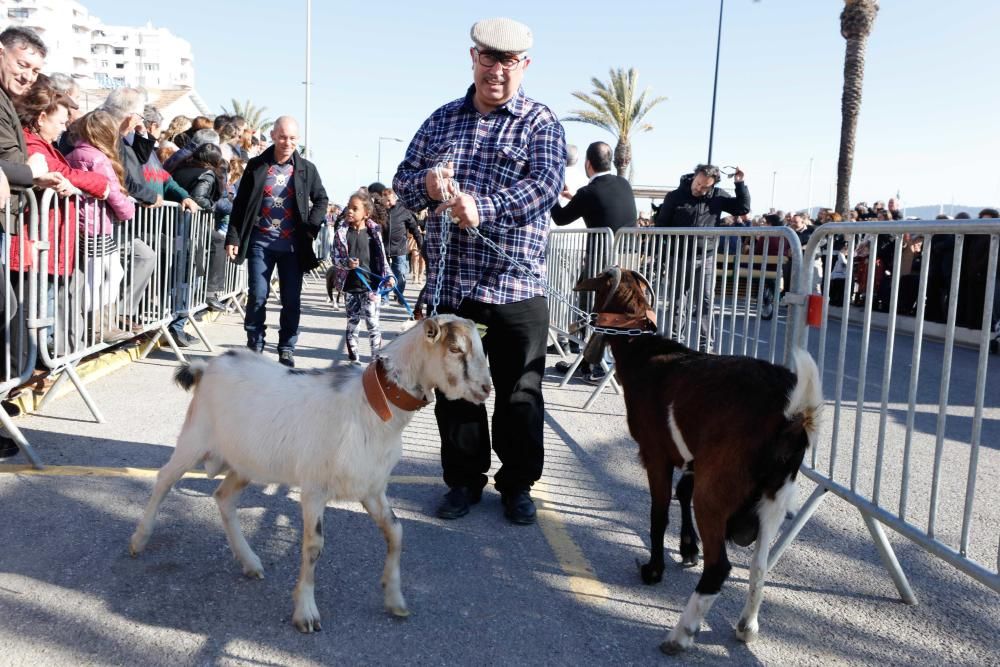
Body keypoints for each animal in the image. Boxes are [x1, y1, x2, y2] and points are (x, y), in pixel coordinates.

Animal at [130, 316, 496, 636]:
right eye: (455, 349)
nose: (485, 389)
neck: (370, 407)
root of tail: (206, 368)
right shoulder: (314, 490)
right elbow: (313, 546)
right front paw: (306, 613)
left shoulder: (372, 488)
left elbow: (396, 532)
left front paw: (395, 599)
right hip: (193, 440)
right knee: (164, 479)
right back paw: (139, 540)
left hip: (248, 462)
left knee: (223, 497)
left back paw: (250, 562)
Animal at [576, 268, 824, 656]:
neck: (645, 354)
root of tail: (791, 414)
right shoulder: (694, 459)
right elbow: (683, 493)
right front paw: (688, 548)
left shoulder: (656, 455)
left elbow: (659, 511)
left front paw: (654, 570)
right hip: (775, 494)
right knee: (759, 564)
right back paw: (747, 627)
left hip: (719, 490)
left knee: (720, 566)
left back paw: (680, 634)